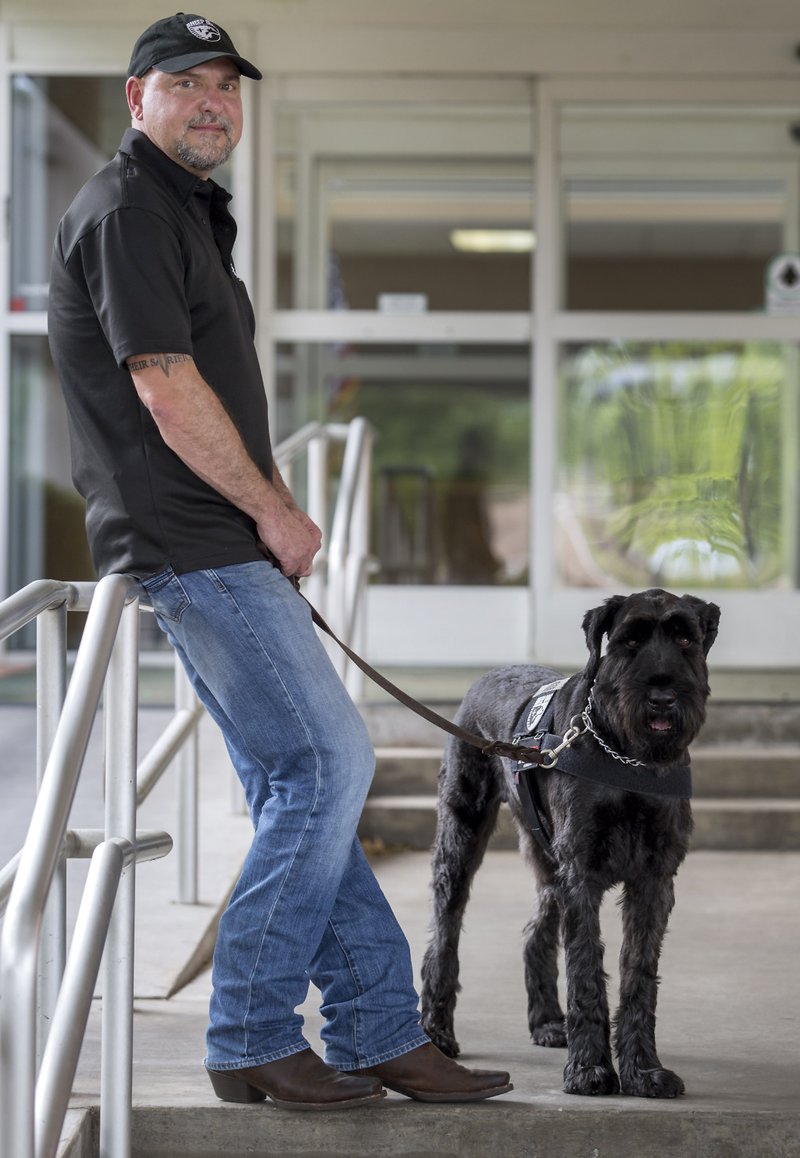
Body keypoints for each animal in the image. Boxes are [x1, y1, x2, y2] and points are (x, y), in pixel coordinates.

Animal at [421, 592, 722, 1097]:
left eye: (685, 639)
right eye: (629, 641)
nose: (663, 696)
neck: (627, 754)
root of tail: (486, 678)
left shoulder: (653, 878)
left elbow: (639, 972)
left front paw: (644, 1070)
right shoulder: (581, 872)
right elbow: (585, 968)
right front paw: (589, 1070)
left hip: (547, 859)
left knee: (533, 930)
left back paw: (545, 1021)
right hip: (462, 836)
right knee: (445, 931)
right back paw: (437, 1031)